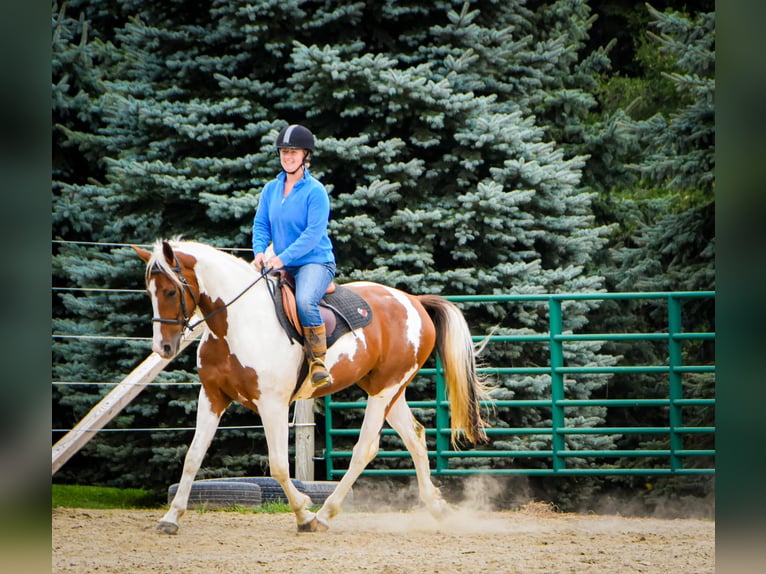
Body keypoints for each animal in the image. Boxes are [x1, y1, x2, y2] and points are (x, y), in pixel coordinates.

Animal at [133, 238, 490, 534]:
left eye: (170, 291)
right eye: (149, 292)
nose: (163, 348)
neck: (237, 324)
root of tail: (414, 301)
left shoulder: (272, 404)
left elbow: (278, 466)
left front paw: (304, 514)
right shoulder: (212, 396)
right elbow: (193, 457)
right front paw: (170, 518)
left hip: (385, 390)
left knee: (365, 449)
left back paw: (325, 514)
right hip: (386, 390)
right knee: (414, 436)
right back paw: (437, 507)